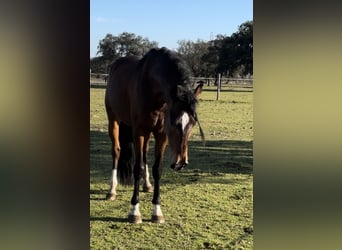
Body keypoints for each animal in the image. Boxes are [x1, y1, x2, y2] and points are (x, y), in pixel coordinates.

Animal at [105, 47, 203, 224]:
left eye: (192, 123)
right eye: (174, 121)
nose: (180, 163)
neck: (151, 87)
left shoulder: (160, 134)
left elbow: (157, 168)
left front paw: (157, 211)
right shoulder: (138, 131)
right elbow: (137, 168)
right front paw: (134, 211)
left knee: (144, 155)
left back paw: (147, 185)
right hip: (114, 120)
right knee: (116, 151)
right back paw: (112, 190)